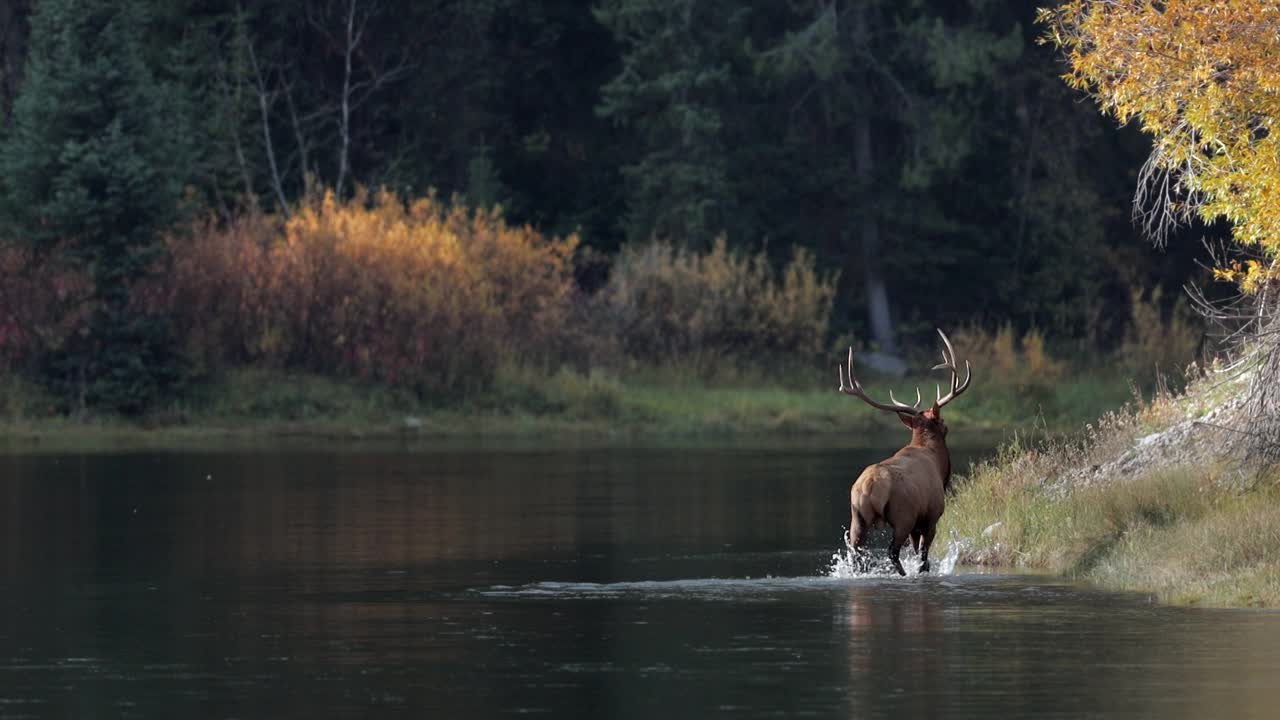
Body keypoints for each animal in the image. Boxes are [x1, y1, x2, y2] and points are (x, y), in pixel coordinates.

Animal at [839, 330, 967, 571]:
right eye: (944, 424)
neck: (937, 463)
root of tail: (869, 487)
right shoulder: (930, 516)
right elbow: (924, 557)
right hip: (903, 515)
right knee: (892, 551)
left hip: (857, 518)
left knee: (856, 554)